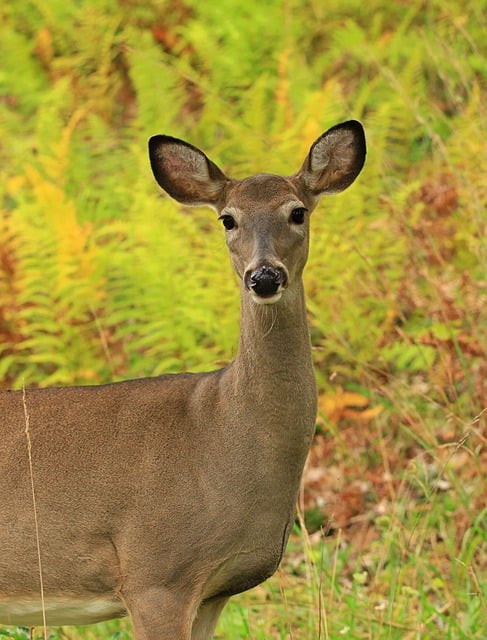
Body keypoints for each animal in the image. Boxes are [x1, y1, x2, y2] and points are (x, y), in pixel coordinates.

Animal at [0, 121, 366, 640]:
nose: (264, 276)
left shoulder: (214, 590)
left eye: (297, 212)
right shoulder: (155, 572)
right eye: (228, 220)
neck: (220, 431)